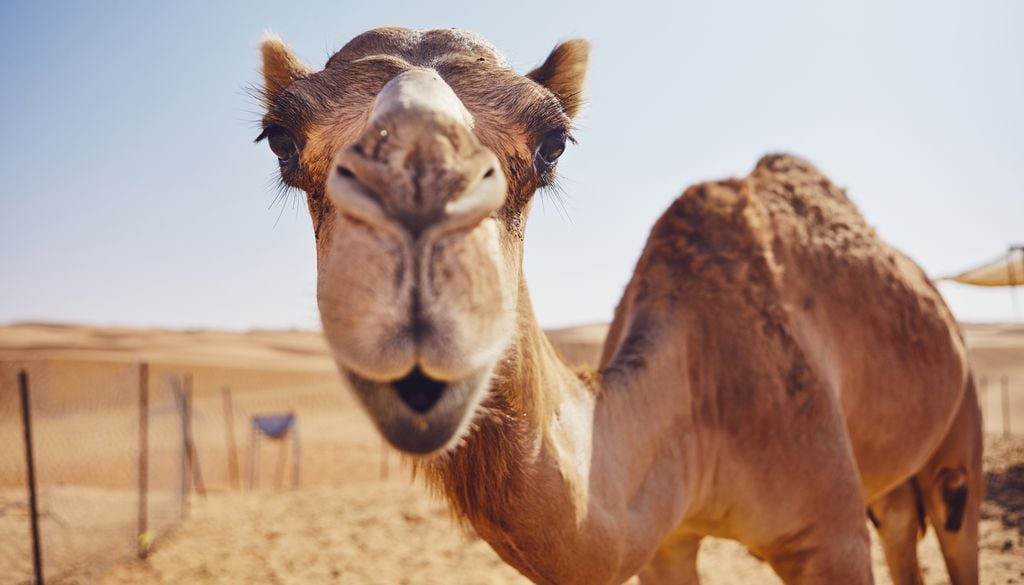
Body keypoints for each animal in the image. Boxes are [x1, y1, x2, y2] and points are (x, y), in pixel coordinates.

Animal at [255, 28, 982, 585]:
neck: (705, 391)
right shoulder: (665, 541)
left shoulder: (828, 535)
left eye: (552, 142)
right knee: (901, 529)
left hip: (958, 436)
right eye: (281, 139)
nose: (418, 209)